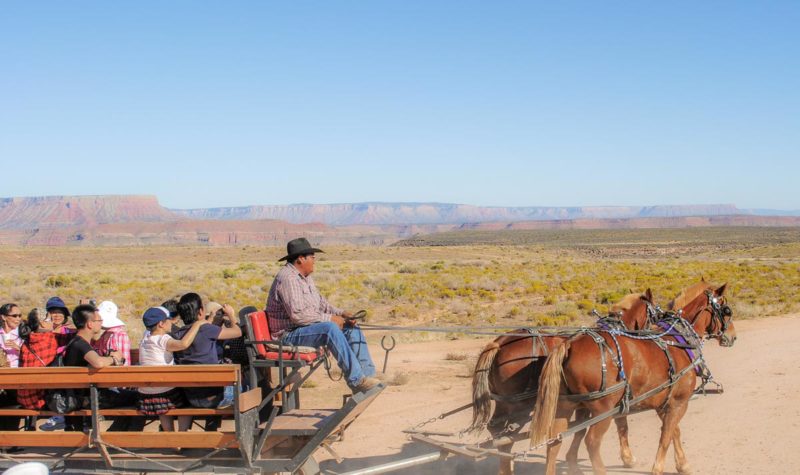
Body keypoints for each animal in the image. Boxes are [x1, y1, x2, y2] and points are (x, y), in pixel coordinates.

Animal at [468, 288, 656, 474]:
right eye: (655, 314)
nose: (654, 334)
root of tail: (498, 343)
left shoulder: (584, 403)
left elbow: (581, 430)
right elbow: (619, 424)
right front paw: (628, 458)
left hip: (503, 403)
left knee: (497, 431)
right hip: (517, 406)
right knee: (506, 435)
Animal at [532, 284, 736, 474]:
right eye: (726, 310)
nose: (733, 336)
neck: (678, 339)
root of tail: (568, 345)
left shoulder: (663, 402)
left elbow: (673, 432)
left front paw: (682, 464)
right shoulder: (679, 402)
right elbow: (665, 436)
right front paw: (657, 468)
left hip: (565, 406)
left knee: (554, 441)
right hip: (601, 410)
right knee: (592, 442)